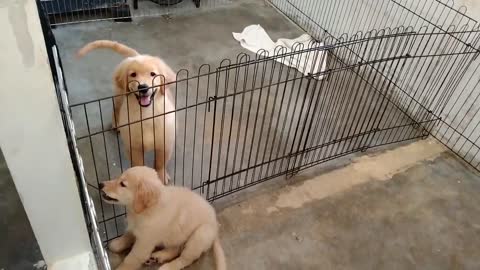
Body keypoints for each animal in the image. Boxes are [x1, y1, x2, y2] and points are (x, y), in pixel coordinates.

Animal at [78, 40, 175, 184]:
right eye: (133, 74)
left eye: (153, 74)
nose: (143, 87)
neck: (146, 114)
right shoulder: (134, 146)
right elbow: (138, 164)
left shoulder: (164, 143)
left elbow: (160, 163)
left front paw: (161, 176)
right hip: (119, 96)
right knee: (116, 108)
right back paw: (116, 124)